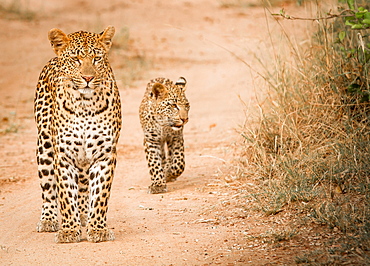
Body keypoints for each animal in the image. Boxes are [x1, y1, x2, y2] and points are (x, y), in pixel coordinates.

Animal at [34, 26, 121, 242]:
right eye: (76, 59)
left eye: (96, 58)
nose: (88, 78)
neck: (85, 105)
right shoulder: (63, 155)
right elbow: (65, 194)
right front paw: (68, 230)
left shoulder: (104, 154)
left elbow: (99, 194)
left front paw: (97, 229)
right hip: (44, 146)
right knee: (48, 189)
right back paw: (48, 219)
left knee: (83, 185)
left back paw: (84, 215)